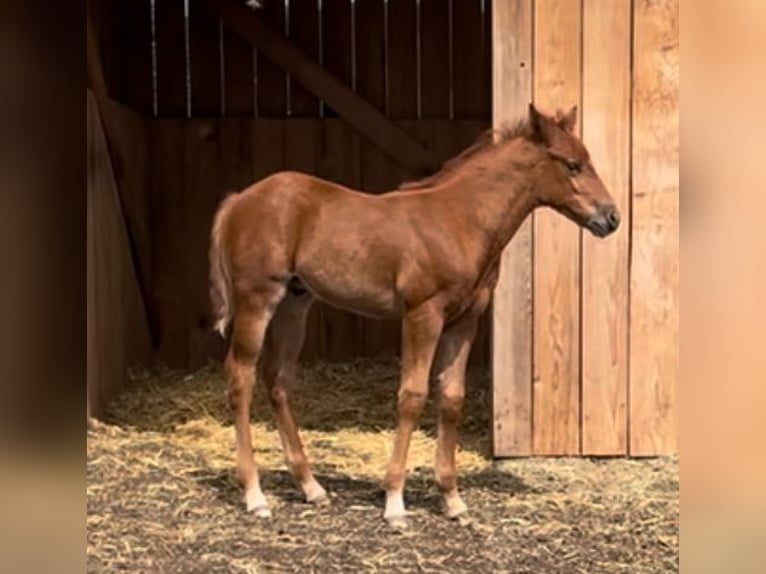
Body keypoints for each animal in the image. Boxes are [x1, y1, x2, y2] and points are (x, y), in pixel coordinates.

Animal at [208, 103, 620, 529]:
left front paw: (453, 500)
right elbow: (412, 395)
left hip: (294, 302)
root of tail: (239, 199)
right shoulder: (423, 314)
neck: (460, 219)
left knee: (278, 378)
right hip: (257, 298)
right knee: (241, 377)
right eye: (572, 165)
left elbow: (451, 398)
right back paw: (255, 495)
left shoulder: (465, 320)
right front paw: (395, 503)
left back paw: (311, 487)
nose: (611, 218)